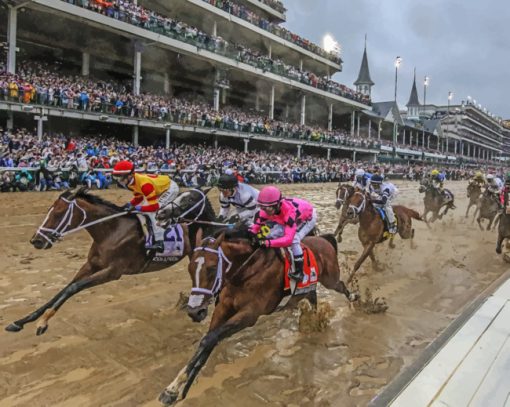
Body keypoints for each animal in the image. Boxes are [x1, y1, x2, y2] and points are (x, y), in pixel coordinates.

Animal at [6, 186, 217, 336]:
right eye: (49, 211)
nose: (36, 240)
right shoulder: (91, 265)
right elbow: (63, 290)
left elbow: (73, 288)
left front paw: (43, 322)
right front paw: (22, 321)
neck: (112, 231)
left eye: (58, 214)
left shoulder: (113, 272)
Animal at [158, 230, 354, 404]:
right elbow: (208, 340)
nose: (194, 311)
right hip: (308, 285)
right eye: (190, 268)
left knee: (341, 286)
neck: (246, 272)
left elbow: (210, 338)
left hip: (330, 279)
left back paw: (353, 299)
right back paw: (313, 318)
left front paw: (177, 388)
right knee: (312, 296)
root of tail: (323, 239)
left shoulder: (250, 313)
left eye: (212, 268)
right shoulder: (223, 307)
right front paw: (174, 389)